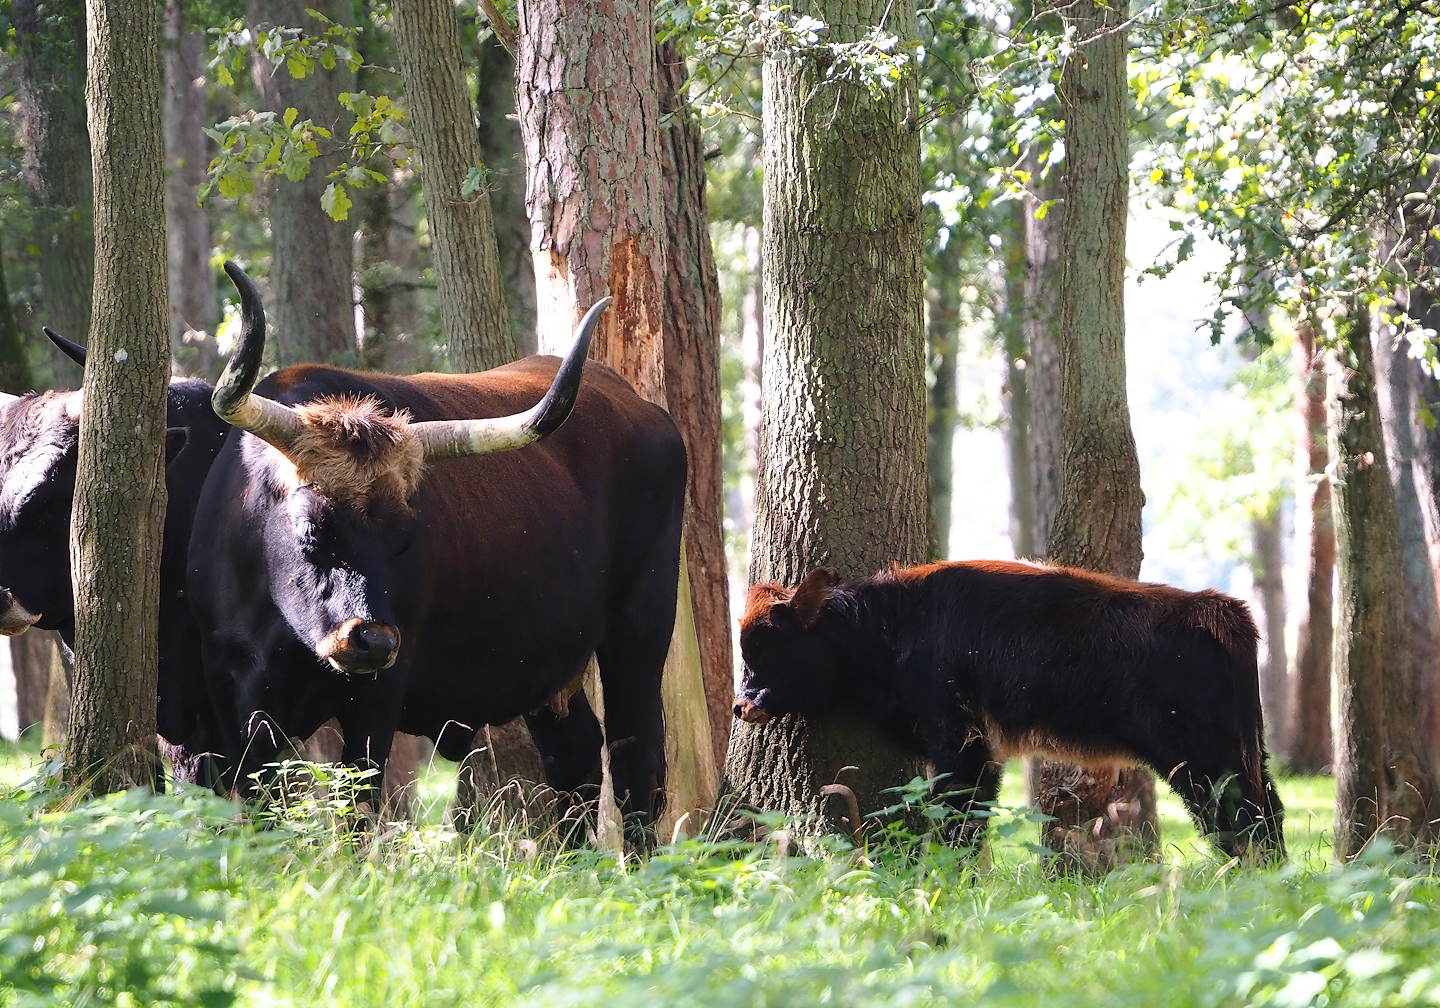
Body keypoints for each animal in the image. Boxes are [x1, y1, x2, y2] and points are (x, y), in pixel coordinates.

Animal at [188, 262, 684, 842]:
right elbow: (260, 803)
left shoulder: (377, 697)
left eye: (405, 538)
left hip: (641, 628)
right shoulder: (233, 690)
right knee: (576, 756)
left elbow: (357, 804)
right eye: (311, 528)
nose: (373, 640)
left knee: (636, 758)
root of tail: (644, 410)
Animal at [732, 561, 1286, 863]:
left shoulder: (961, 747)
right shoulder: (985, 755)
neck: (896, 624)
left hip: (1203, 764)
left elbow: (955, 822)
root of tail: (1217, 609)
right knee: (1269, 816)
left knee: (1240, 823)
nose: (742, 704)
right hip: (1249, 756)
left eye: (769, 648)